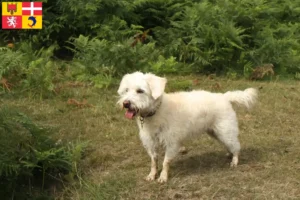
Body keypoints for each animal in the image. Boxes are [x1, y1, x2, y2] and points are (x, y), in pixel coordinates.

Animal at [117, 72, 258, 183]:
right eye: (126, 90)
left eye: (140, 91)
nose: (126, 103)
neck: (156, 111)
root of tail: (224, 96)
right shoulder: (150, 143)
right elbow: (154, 161)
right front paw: (152, 175)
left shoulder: (172, 143)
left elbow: (165, 162)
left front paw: (163, 177)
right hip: (216, 133)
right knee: (230, 145)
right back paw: (229, 154)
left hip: (225, 131)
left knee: (236, 146)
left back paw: (234, 160)